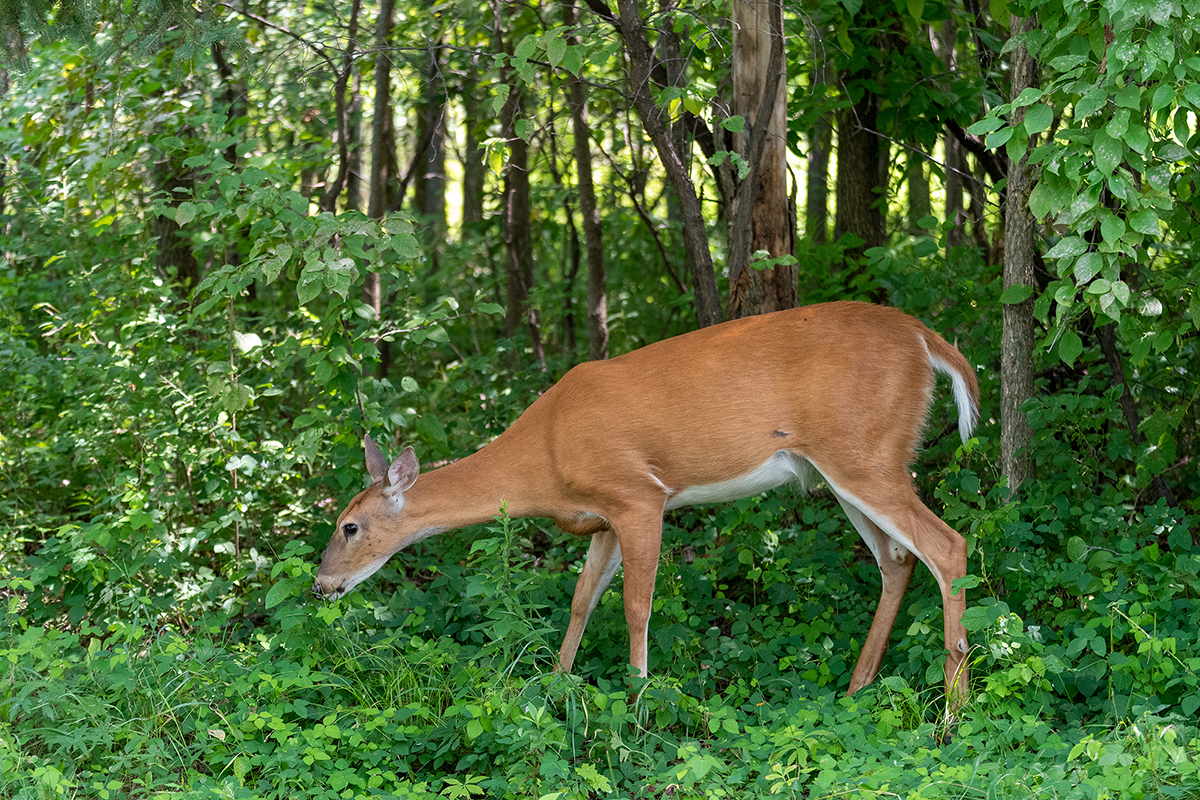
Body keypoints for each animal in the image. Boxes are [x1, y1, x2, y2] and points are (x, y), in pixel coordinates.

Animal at [313, 301, 980, 705]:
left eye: (348, 526)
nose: (321, 586)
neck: (546, 455)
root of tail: (925, 338)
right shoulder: (603, 517)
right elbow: (581, 601)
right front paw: (557, 686)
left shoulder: (638, 495)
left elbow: (636, 607)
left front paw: (636, 700)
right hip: (840, 468)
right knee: (897, 560)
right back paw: (856, 690)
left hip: (866, 452)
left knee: (948, 546)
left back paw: (953, 711)